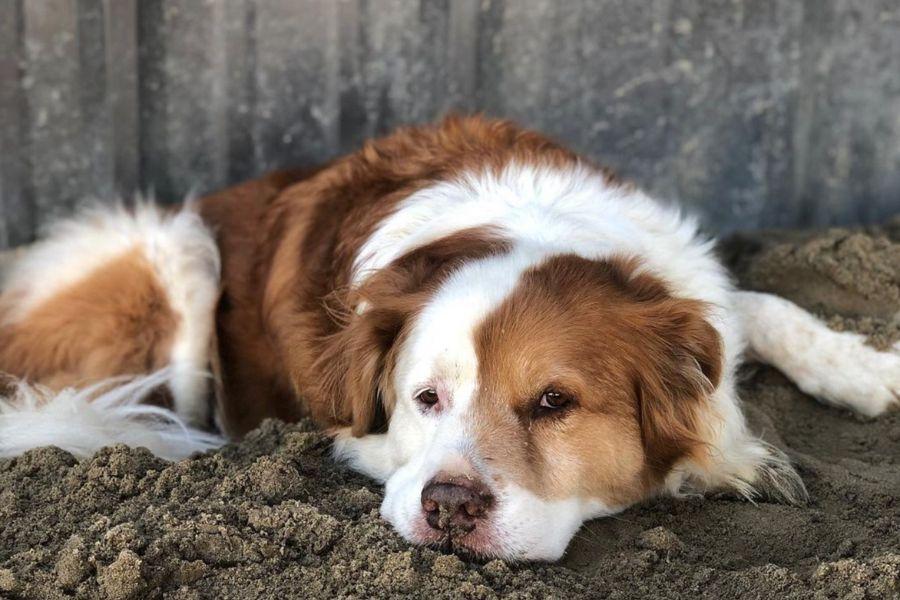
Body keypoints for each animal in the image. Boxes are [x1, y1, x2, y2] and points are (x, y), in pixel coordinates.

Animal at [1, 118, 900, 564]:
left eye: (554, 403)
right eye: (423, 399)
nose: (450, 508)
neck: (530, 222)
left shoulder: (687, 293)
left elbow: (761, 308)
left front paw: (866, 370)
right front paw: (728, 463)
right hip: (175, 249)